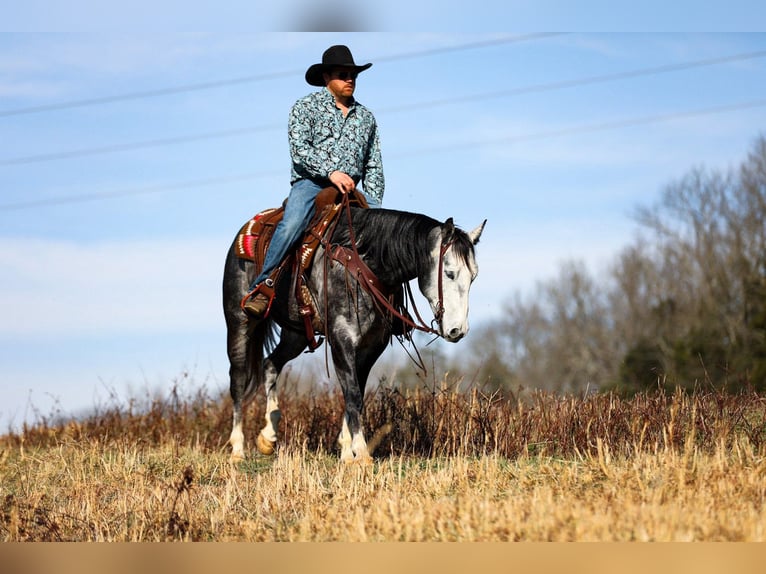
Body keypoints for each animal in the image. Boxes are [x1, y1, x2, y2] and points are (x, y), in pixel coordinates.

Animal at [222, 201, 486, 463]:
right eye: (449, 273)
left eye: (474, 277)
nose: (458, 330)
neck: (364, 264)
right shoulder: (341, 338)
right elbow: (353, 393)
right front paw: (362, 454)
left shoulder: (372, 345)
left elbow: (355, 390)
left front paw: (348, 451)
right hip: (239, 322)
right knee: (238, 379)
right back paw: (237, 449)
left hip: (295, 334)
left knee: (270, 364)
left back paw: (268, 437)